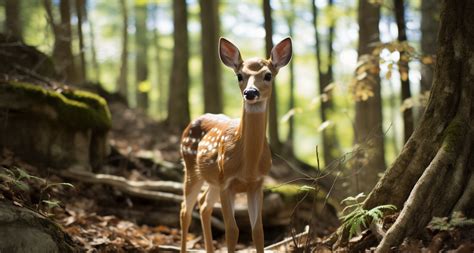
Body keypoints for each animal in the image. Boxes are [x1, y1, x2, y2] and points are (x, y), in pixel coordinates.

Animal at [180, 37, 292, 253]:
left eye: (268, 75)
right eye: (239, 75)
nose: (250, 92)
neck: (247, 166)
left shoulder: (257, 184)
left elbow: (258, 232)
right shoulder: (227, 182)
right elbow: (232, 231)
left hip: (212, 178)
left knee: (204, 205)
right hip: (192, 168)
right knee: (185, 210)